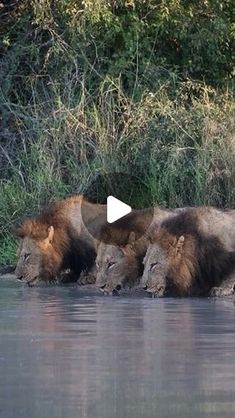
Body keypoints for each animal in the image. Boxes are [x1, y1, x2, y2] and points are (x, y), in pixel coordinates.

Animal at [15, 194, 154, 286]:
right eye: (19, 255)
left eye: (27, 255)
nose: (18, 277)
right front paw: (68, 276)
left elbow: (96, 261)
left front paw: (88, 277)